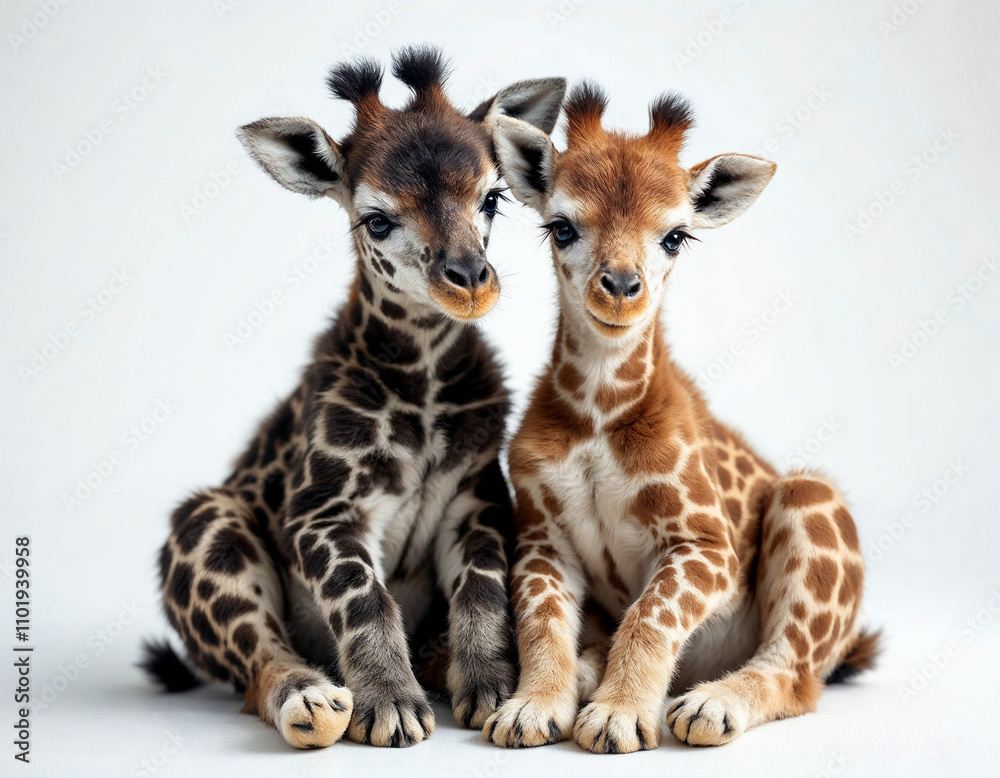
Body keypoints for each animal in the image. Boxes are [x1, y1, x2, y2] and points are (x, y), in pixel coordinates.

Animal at [142, 47, 566, 749]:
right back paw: (312, 701)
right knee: (257, 663)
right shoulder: (323, 509)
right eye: (377, 219)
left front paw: (489, 687)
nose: (471, 282)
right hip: (206, 525)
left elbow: (481, 589)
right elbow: (363, 595)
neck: (422, 386)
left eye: (493, 198)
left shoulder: (475, 495)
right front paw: (391, 704)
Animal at [483, 82, 878, 753]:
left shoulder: (706, 542)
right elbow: (541, 619)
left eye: (675, 236)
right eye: (562, 227)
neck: (598, 417)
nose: (621, 288)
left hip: (809, 498)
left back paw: (709, 705)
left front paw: (616, 716)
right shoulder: (541, 535)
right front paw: (534, 707)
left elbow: (651, 613)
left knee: (798, 674)